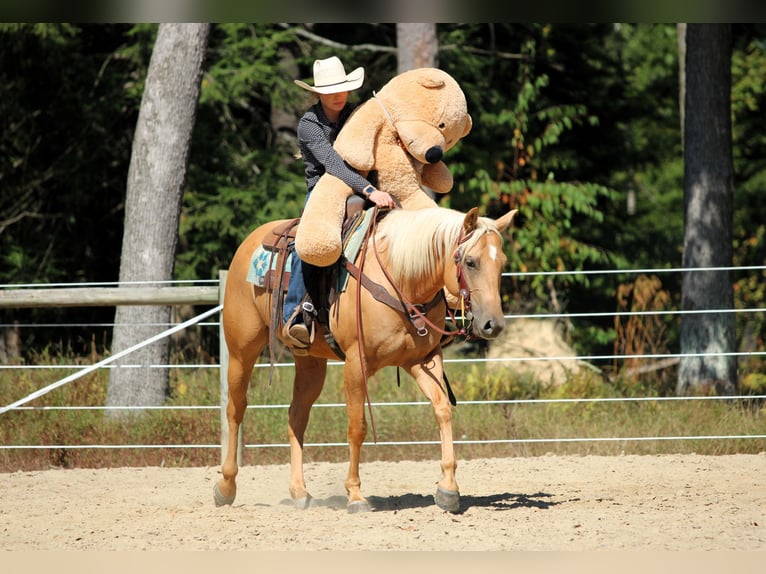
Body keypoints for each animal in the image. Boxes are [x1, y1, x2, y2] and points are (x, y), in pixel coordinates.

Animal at [214, 204, 517, 513]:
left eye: (502, 263)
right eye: (470, 262)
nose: (493, 325)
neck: (400, 279)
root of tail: (250, 242)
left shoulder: (423, 360)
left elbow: (442, 409)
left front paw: (448, 488)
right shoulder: (355, 365)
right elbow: (357, 427)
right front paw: (356, 494)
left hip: (310, 362)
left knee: (297, 415)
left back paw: (299, 492)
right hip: (241, 351)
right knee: (235, 410)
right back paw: (226, 487)